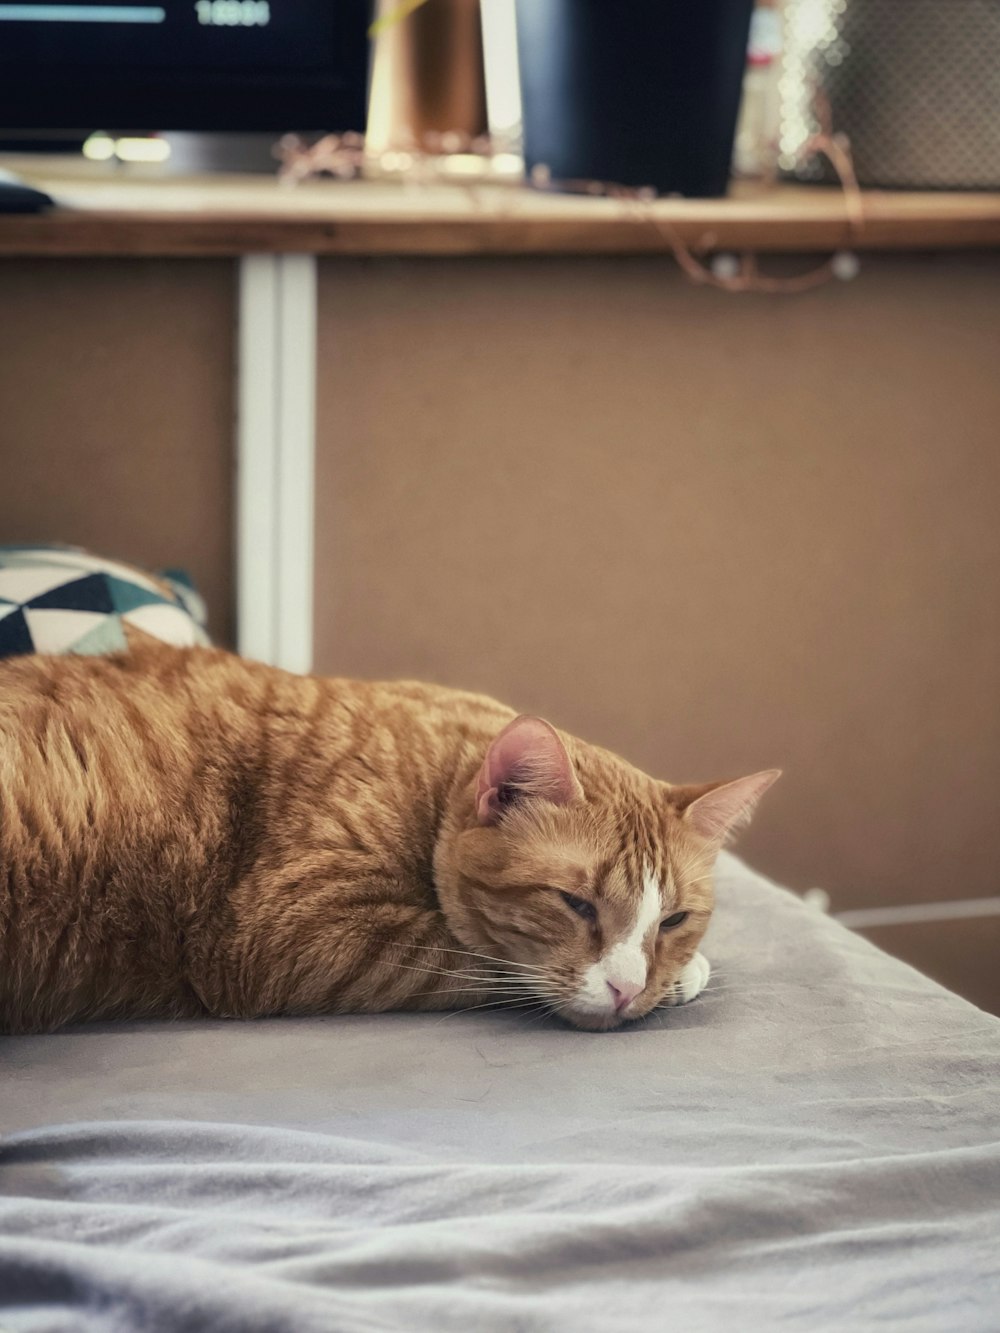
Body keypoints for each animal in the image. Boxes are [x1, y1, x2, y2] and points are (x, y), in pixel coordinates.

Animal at [0, 642, 778, 1029]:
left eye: (674, 919)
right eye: (576, 904)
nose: (628, 992)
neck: (431, 776)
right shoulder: (296, 930)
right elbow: (479, 961)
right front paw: (681, 980)